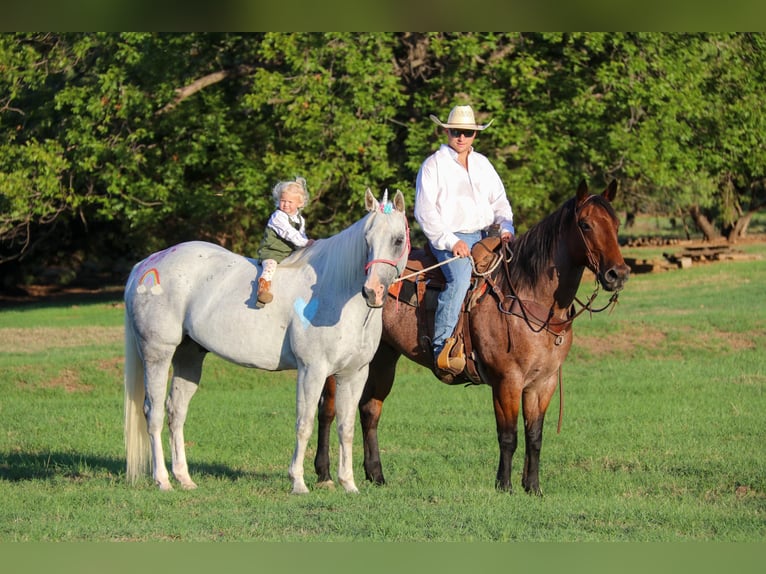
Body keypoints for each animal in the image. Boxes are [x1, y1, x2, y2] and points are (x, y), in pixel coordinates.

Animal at [124, 190, 412, 496]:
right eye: (367, 240)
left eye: (398, 240)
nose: (372, 291)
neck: (335, 291)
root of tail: (148, 264)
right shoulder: (312, 370)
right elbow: (304, 424)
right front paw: (298, 482)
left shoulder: (353, 374)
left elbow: (346, 428)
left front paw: (348, 484)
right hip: (157, 354)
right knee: (153, 413)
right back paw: (163, 480)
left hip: (189, 358)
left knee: (176, 412)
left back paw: (184, 478)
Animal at [316, 182, 632, 498]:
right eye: (585, 224)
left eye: (616, 224)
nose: (618, 274)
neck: (527, 296)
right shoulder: (507, 380)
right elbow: (508, 435)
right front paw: (504, 486)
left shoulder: (544, 383)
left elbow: (534, 435)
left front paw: (533, 487)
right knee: (328, 411)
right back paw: (324, 474)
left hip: (384, 357)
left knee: (370, 410)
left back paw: (377, 475)